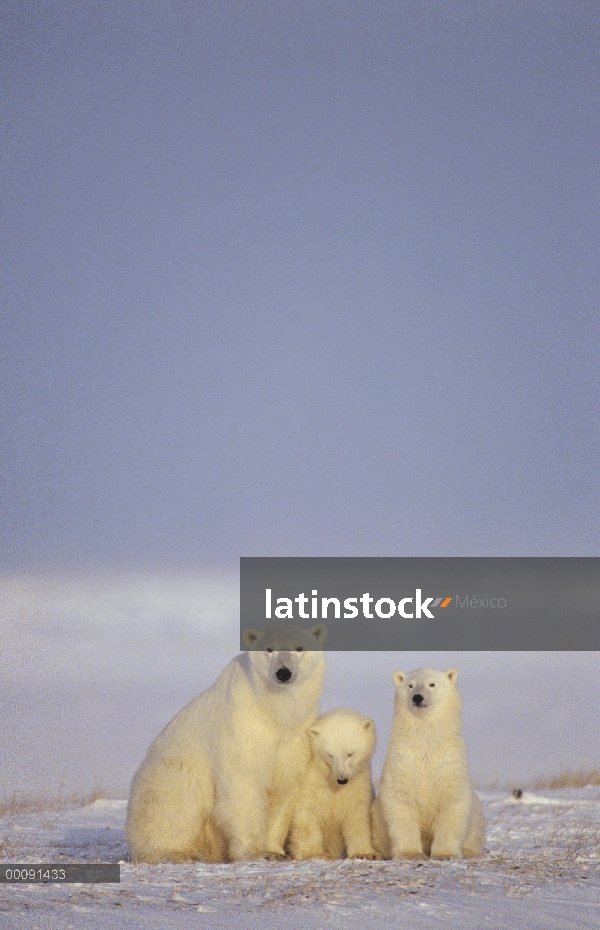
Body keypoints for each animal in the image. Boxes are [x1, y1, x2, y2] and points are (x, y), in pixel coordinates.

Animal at [123, 620, 326, 868]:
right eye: (269, 649)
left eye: (299, 647)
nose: (283, 673)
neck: (271, 710)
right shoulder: (241, 726)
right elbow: (243, 781)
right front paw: (256, 851)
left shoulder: (295, 738)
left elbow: (282, 789)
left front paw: (275, 851)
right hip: (164, 776)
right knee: (177, 798)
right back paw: (175, 853)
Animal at [288, 708, 378, 860]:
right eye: (330, 754)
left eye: (350, 753)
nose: (342, 779)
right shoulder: (310, 782)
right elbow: (306, 813)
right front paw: (316, 853)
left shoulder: (357, 782)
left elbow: (357, 814)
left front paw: (365, 853)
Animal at [376, 668, 488, 856]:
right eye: (410, 685)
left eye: (432, 684)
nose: (417, 697)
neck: (426, 746)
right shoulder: (403, 763)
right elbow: (401, 803)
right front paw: (410, 853)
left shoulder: (449, 765)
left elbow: (452, 805)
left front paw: (445, 853)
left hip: (476, 813)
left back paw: (469, 851)